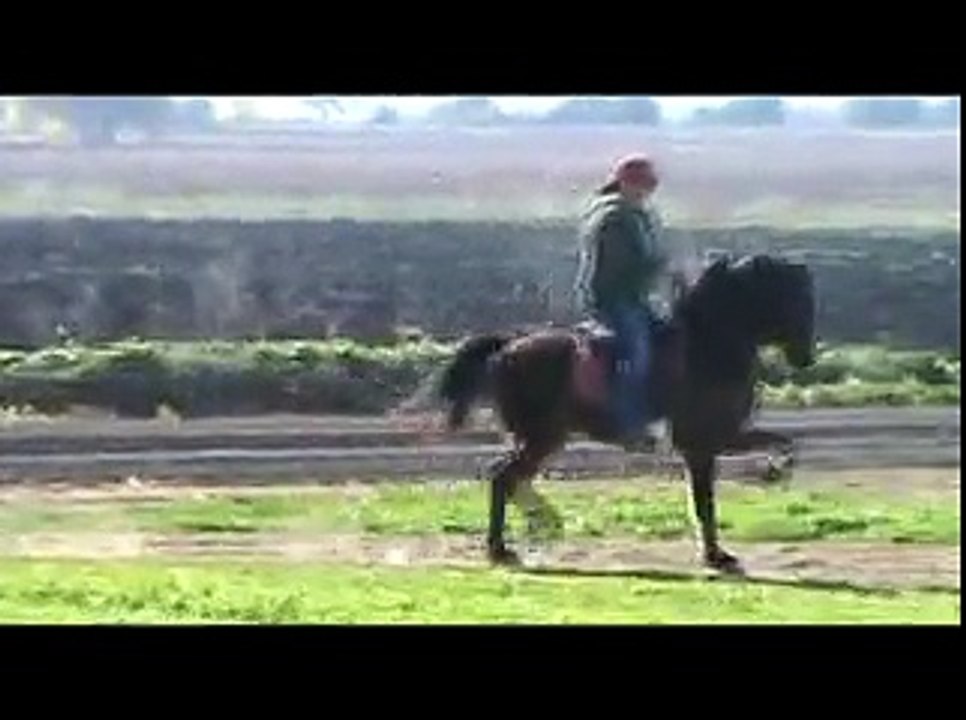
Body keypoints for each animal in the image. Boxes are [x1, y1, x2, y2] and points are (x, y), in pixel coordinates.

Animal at [424, 253, 817, 574]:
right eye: (794, 298)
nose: (806, 358)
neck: (708, 343)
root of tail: (507, 346)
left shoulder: (720, 438)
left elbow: (782, 443)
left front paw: (773, 475)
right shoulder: (704, 443)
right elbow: (706, 501)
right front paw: (716, 556)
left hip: (541, 437)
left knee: (507, 477)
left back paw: (537, 526)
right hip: (541, 437)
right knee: (503, 477)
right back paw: (509, 543)